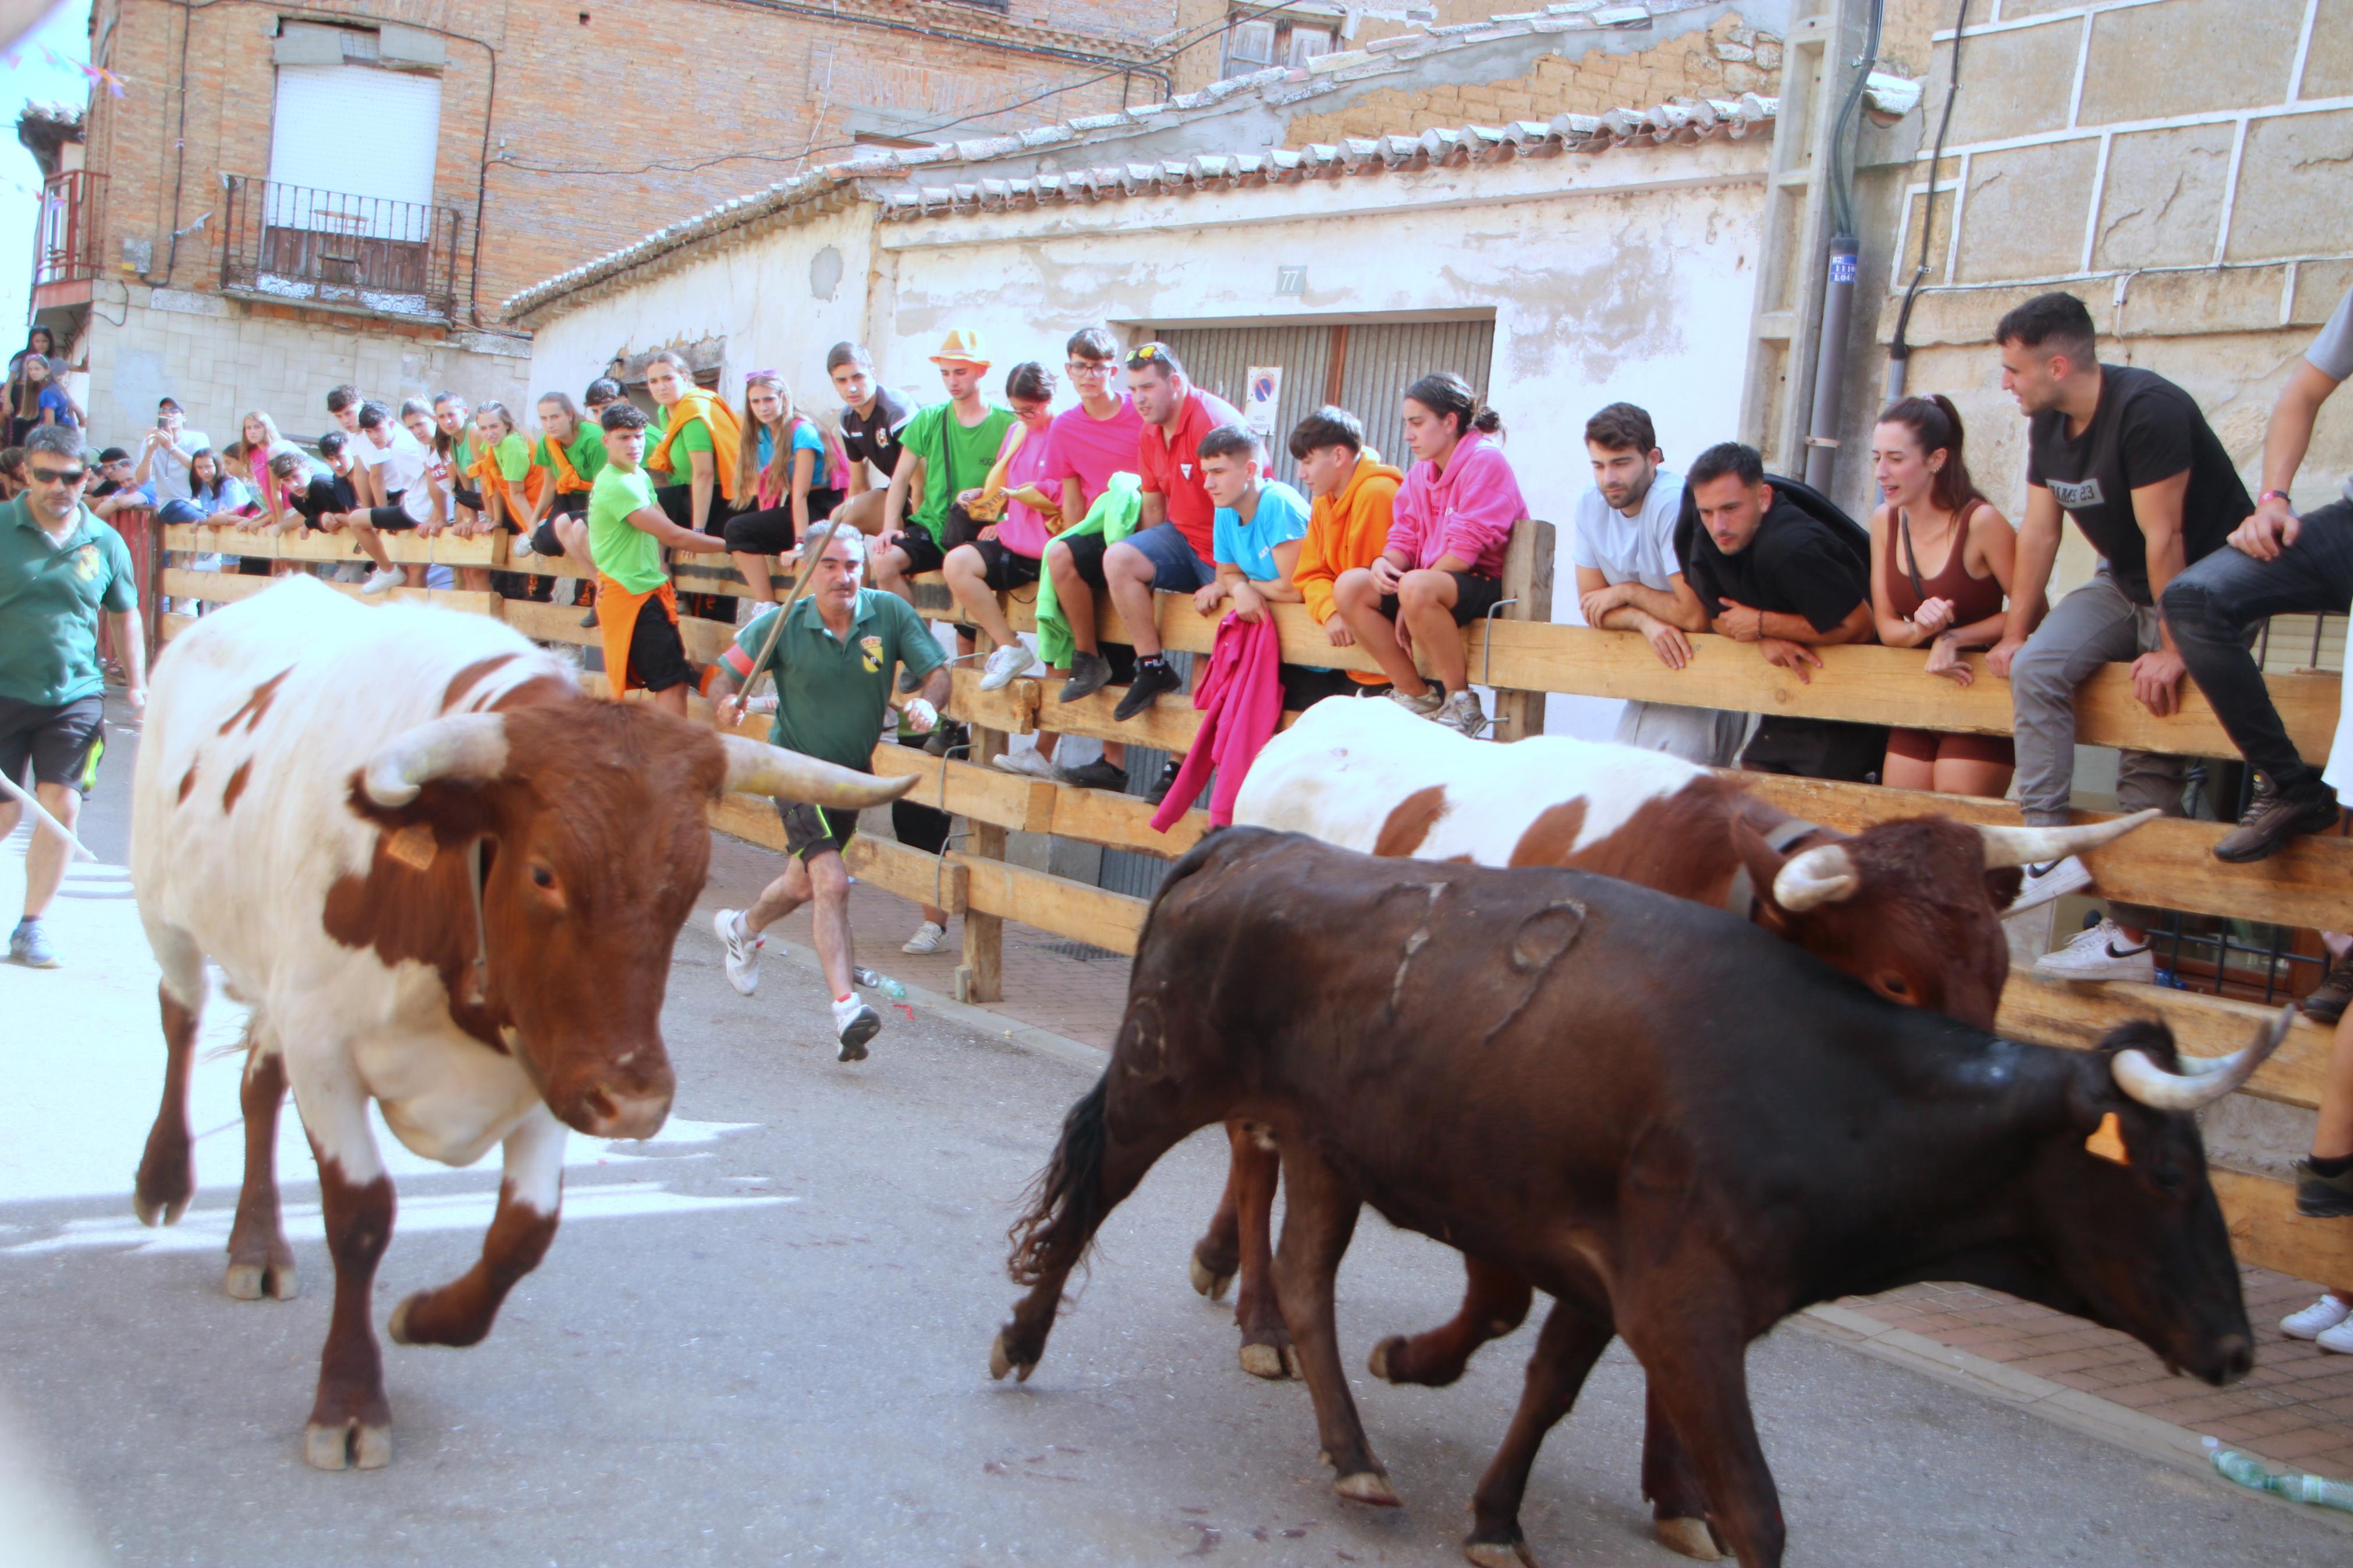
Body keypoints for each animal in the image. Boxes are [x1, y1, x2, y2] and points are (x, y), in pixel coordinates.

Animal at [126, 580, 908, 1476]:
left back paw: (257, 1246)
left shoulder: (553, 1064)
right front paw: (350, 1402)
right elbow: (360, 1217)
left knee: (257, 1085)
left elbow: (522, 1234)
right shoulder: (327, 1050)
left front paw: (423, 1318)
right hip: (166, 915)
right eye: (543, 872)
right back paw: (163, 1180)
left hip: (270, 970)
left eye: (691, 878)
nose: (638, 1105)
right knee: (180, 1019)